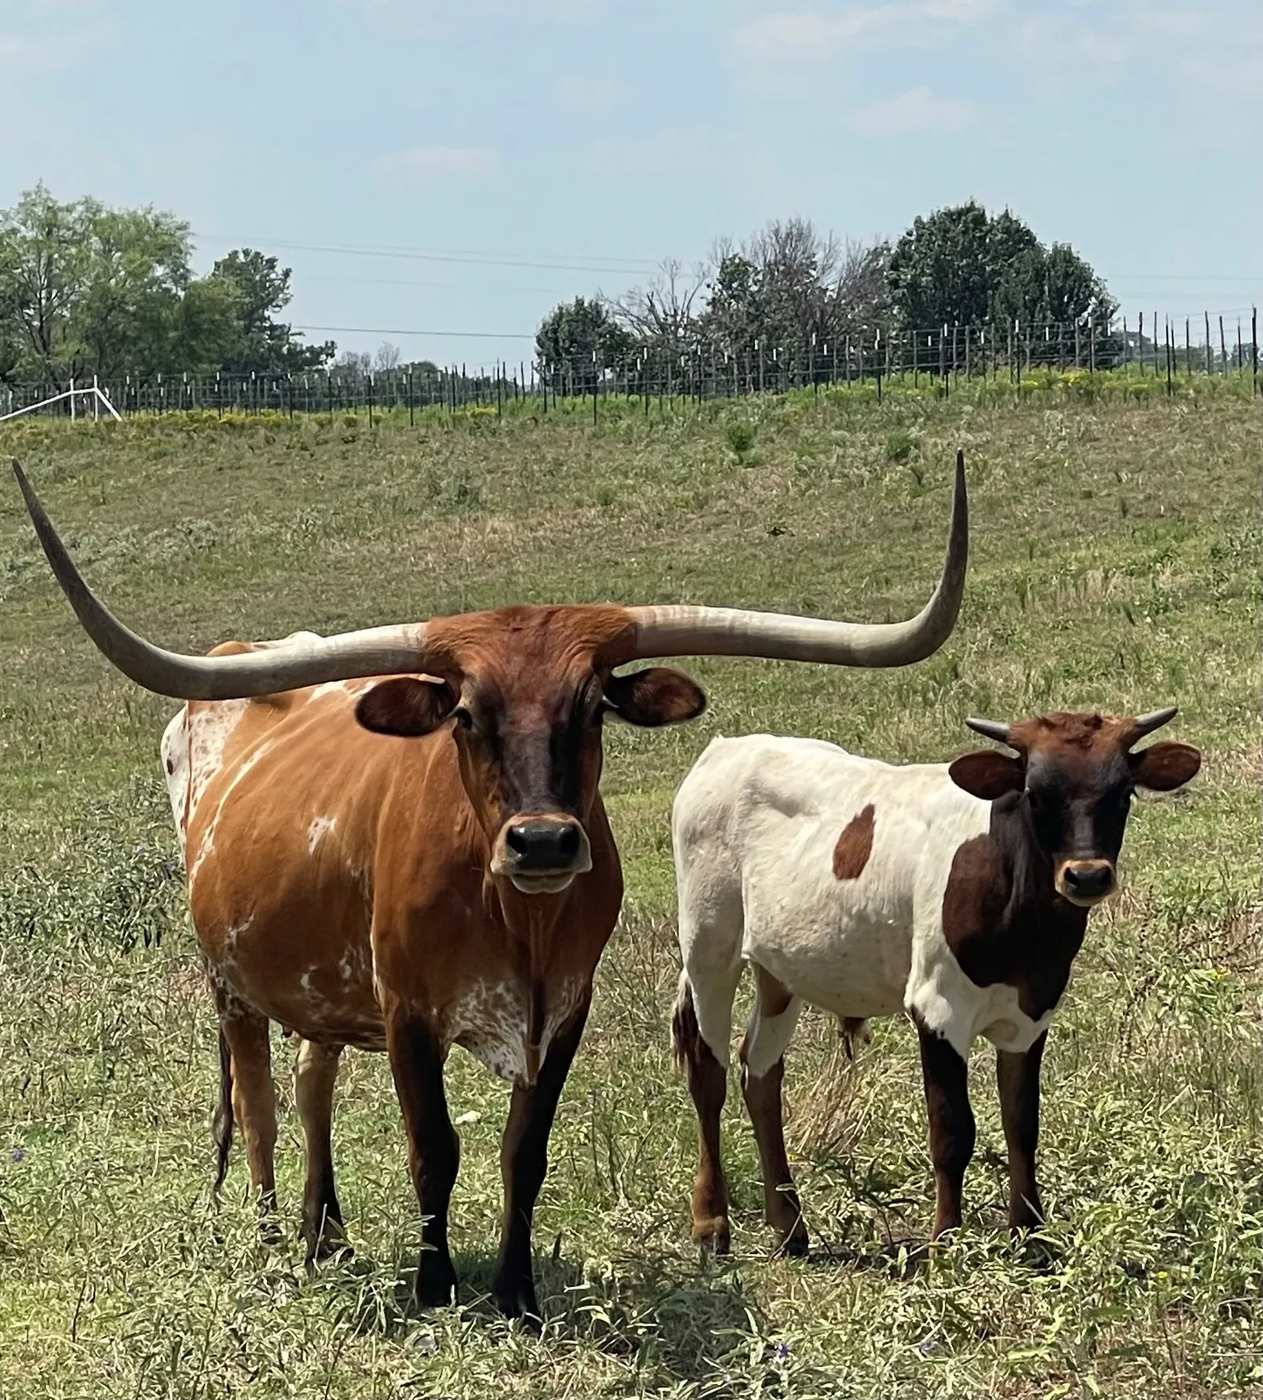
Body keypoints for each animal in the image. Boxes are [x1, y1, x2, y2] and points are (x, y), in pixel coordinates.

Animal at [14, 455, 966, 1321]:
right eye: (466, 714)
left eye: (591, 707)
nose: (542, 841)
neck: (515, 920)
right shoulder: (407, 1011)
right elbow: (432, 1150)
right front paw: (435, 1288)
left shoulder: (562, 1011)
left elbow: (523, 1152)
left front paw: (516, 1292)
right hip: (231, 982)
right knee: (258, 1104)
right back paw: (277, 1240)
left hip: (323, 985)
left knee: (312, 1080)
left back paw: (330, 1232)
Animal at [670, 710, 1200, 1256]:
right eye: (1035, 794)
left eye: (1123, 793)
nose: (1088, 876)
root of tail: (728, 747)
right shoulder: (939, 1006)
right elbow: (952, 1130)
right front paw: (946, 1240)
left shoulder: (1033, 1011)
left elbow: (1022, 1123)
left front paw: (1030, 1236)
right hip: (708, 943)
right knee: (708, 1071)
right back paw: (711, 1223)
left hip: (779, 967)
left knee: (759, 1072)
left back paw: (790, 1226)